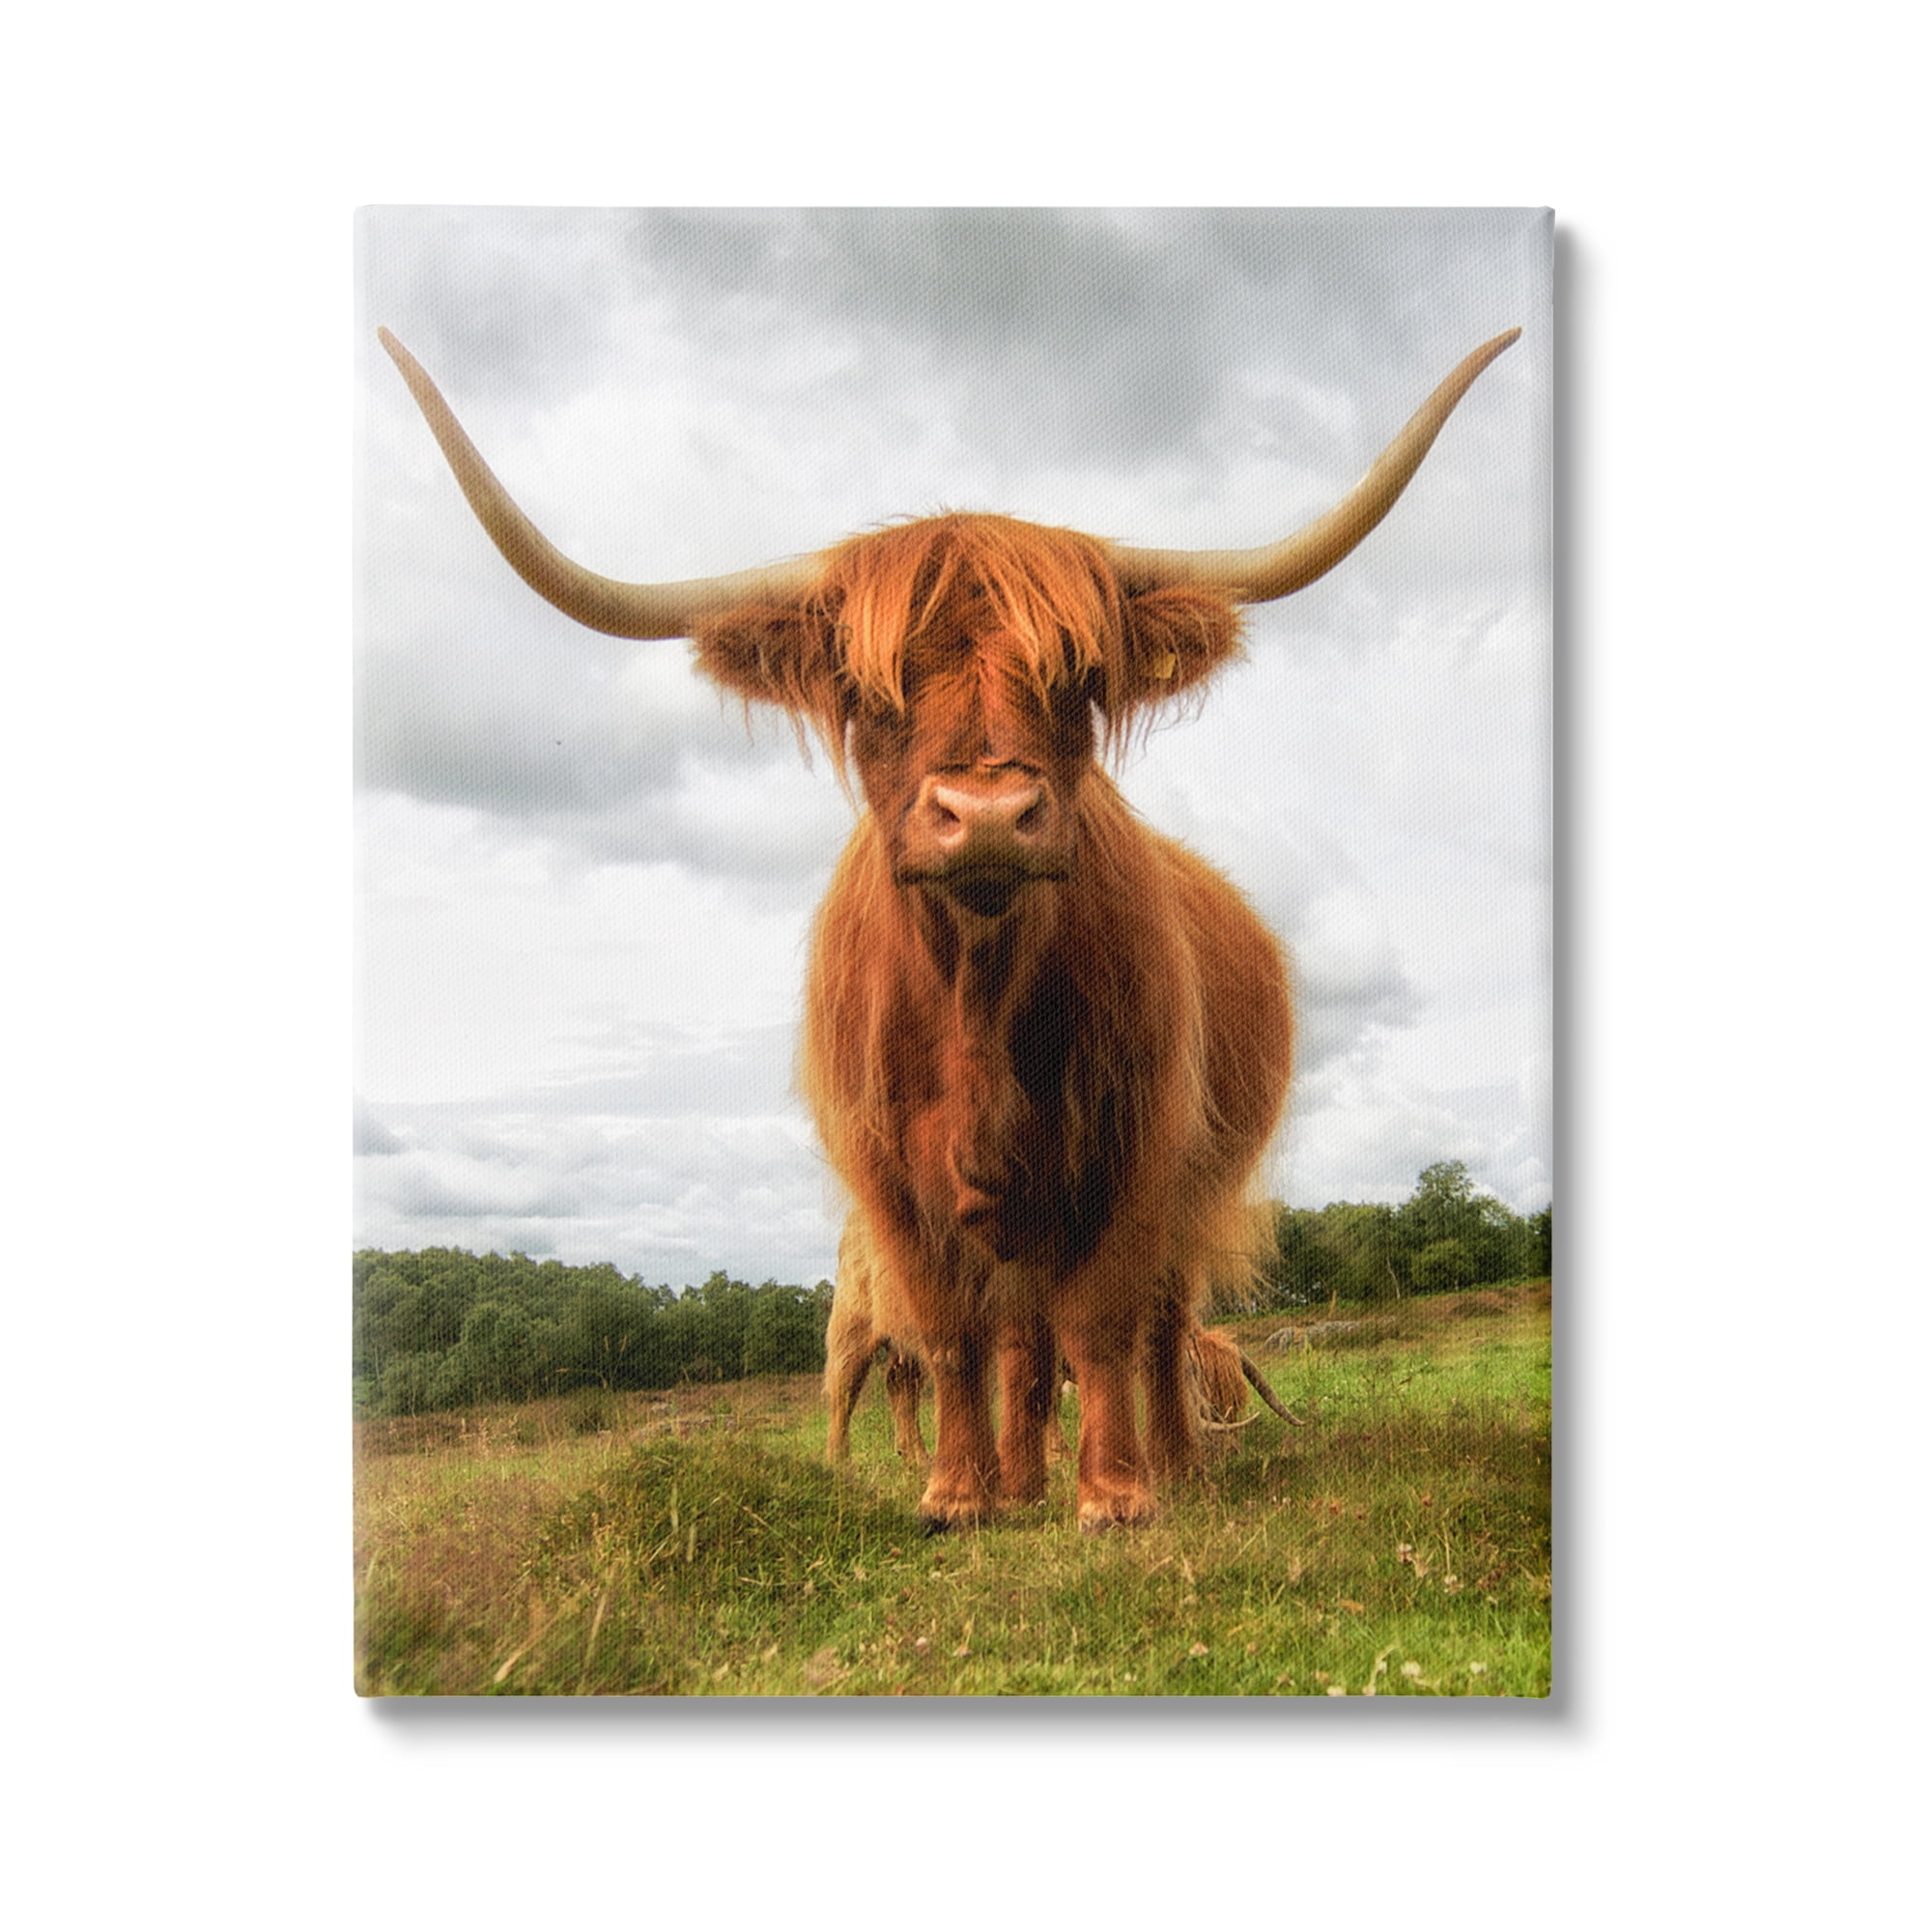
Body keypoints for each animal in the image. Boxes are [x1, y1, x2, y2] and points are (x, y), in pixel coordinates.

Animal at [379, 323, 1518, 1532]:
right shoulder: (887, 1174)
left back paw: (1168, 1463)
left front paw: (1113, 1495)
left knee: (1150, 1319)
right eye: (866, 688)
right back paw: (1010, 1475)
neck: (975, 993)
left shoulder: (1130, 1145)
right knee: (983, 1344)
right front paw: (959, 1494)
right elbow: (951, 1329)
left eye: (1077, 676)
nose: (984, 813)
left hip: (1187, 1182)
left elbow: (1102, 1318)